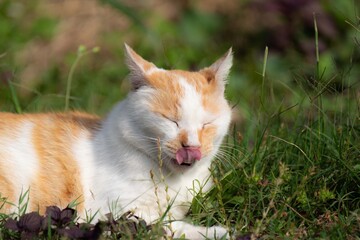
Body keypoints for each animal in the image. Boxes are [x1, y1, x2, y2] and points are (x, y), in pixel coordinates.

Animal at [0, 44, 233, 238]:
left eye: (207, 123)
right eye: (171, 121)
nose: (192, 146)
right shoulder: (111, 212)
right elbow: (164, 225)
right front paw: (215, 232)